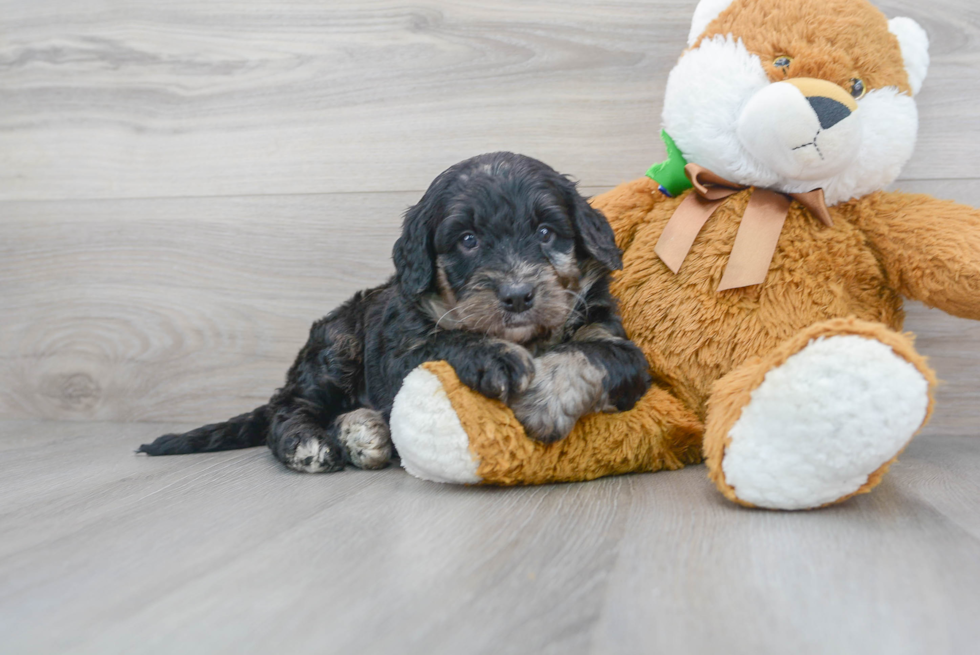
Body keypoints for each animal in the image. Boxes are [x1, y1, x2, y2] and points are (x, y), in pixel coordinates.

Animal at [138, 154, 656, 472]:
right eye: (468, 240)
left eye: (547, 232)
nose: (517, 296)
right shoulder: (397, 350)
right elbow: (444, 339)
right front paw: (492, 354)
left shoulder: (615, 340)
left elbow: (593, 353)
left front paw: (545, 401)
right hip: (337, 345)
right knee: (287, 408)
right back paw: (312, 442)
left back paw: (362, 430)